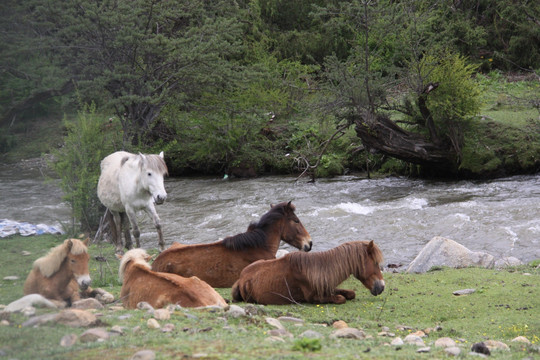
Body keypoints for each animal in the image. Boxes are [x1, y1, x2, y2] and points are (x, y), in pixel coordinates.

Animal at [232, 240, 384, 306]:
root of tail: (241, 278)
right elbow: (341, 298)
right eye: (375, 263)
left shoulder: (327, 288)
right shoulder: (314, 297)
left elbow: (351, 293)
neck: (315, 269)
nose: (381, 287)